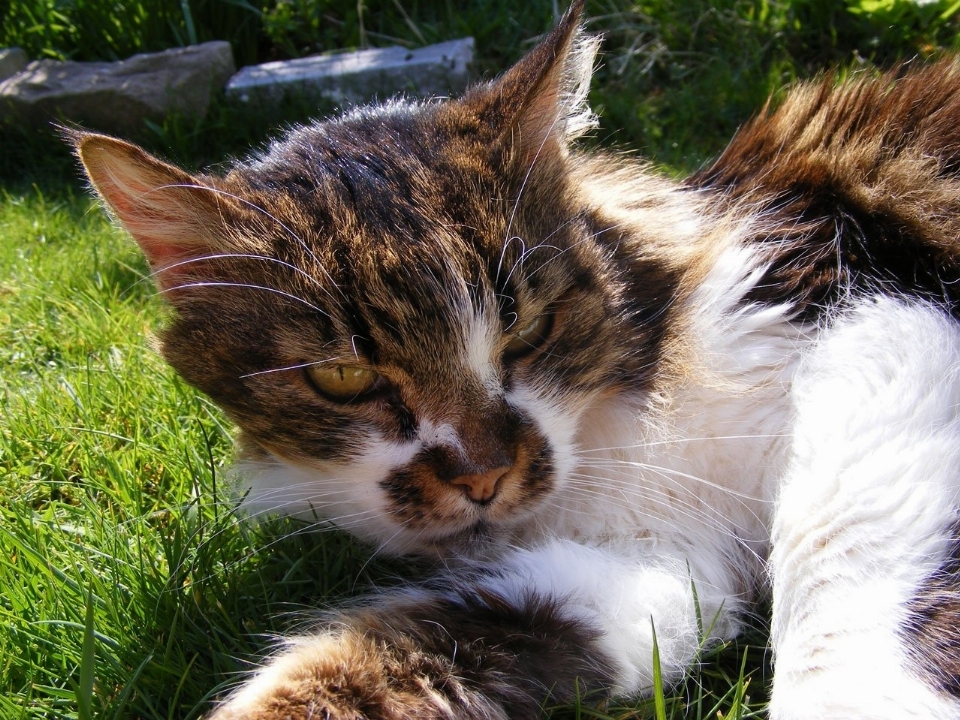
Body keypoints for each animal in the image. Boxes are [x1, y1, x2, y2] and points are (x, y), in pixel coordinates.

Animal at [71, 1, 960, 720]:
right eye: (344, 378)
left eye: (528, 329)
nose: (483, 476)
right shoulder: (645, 566)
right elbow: (374, 657)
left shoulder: (865, 310)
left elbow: (839, 556)